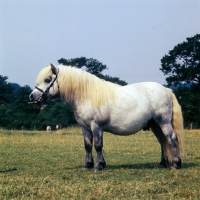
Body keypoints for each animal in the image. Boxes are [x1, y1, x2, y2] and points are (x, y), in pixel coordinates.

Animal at [29, 64, 184, 172]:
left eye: (47, 79)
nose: (32, 96)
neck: (86, 96)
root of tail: (165, 89)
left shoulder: (96, 126)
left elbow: (98, 145)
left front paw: (98, 166)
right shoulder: (85, 128)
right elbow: (87, 145)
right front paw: (88, 165)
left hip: (163, 122)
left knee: (171, 138)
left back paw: (175, 164)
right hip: (154, 125)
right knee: (163, 141)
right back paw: (162, 163)